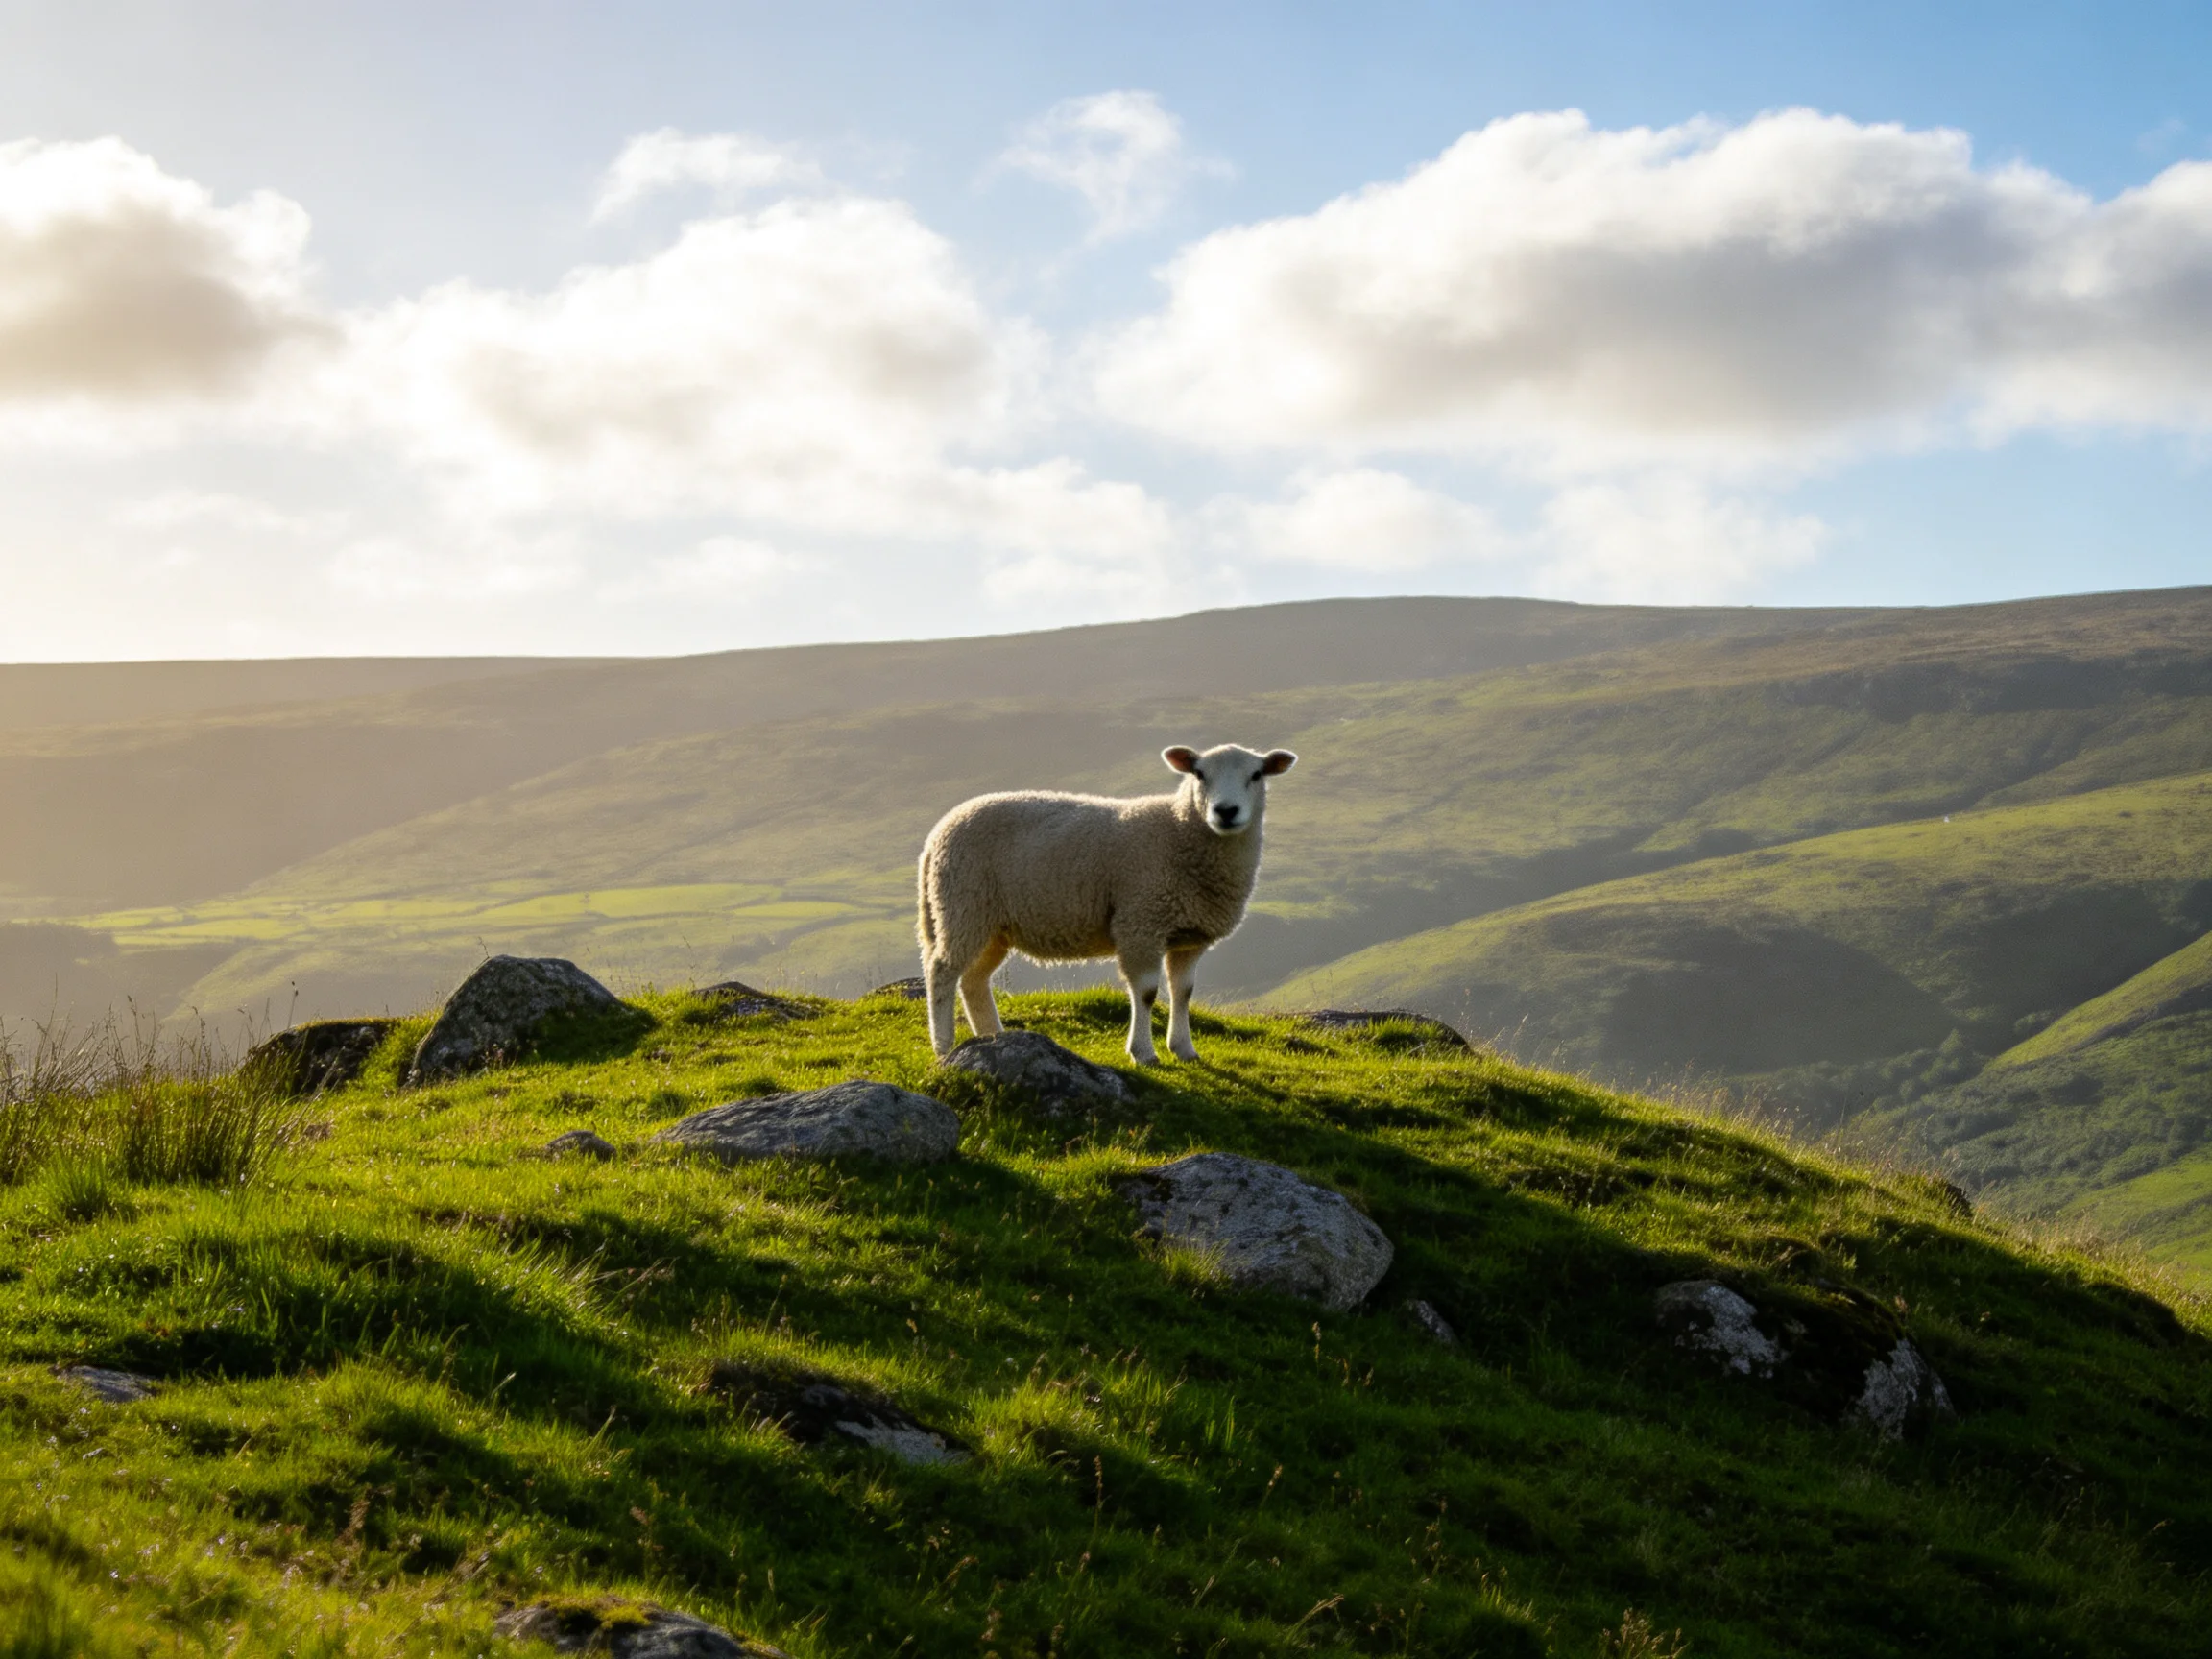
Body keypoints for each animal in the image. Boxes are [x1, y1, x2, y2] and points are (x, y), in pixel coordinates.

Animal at [916, 743, 1297, 1065]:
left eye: (1256, 774)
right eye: (1199, 774)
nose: (1226, 811)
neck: (1180, 831)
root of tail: (935, 837)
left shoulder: (1189, 936)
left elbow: (1183, 992)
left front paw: (1185, 1049)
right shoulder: (1140, 922)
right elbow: (1146, 992)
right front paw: (1143, 1053)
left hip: (992, 924)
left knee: (974, 980)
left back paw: (993, 1037)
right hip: (962, 906)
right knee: (943, 971)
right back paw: (944, 1046)